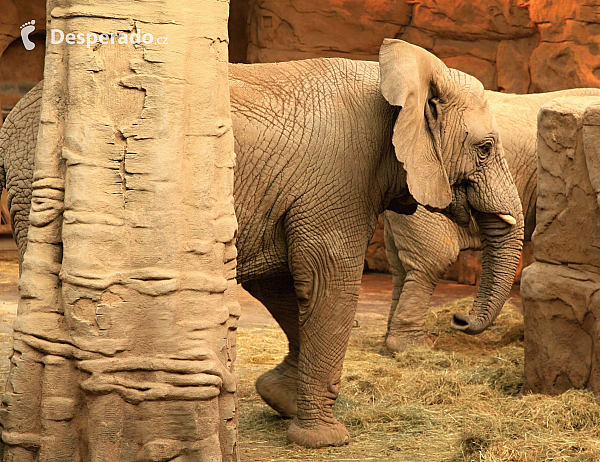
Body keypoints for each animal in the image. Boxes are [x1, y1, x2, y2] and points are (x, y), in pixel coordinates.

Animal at [0, 40, 524, 448]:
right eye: (485, 148)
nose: (459, 320)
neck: (397, 73)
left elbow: (283, 278)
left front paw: (281, 398)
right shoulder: (339, 175)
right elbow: (325, 276)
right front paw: (324, 439)